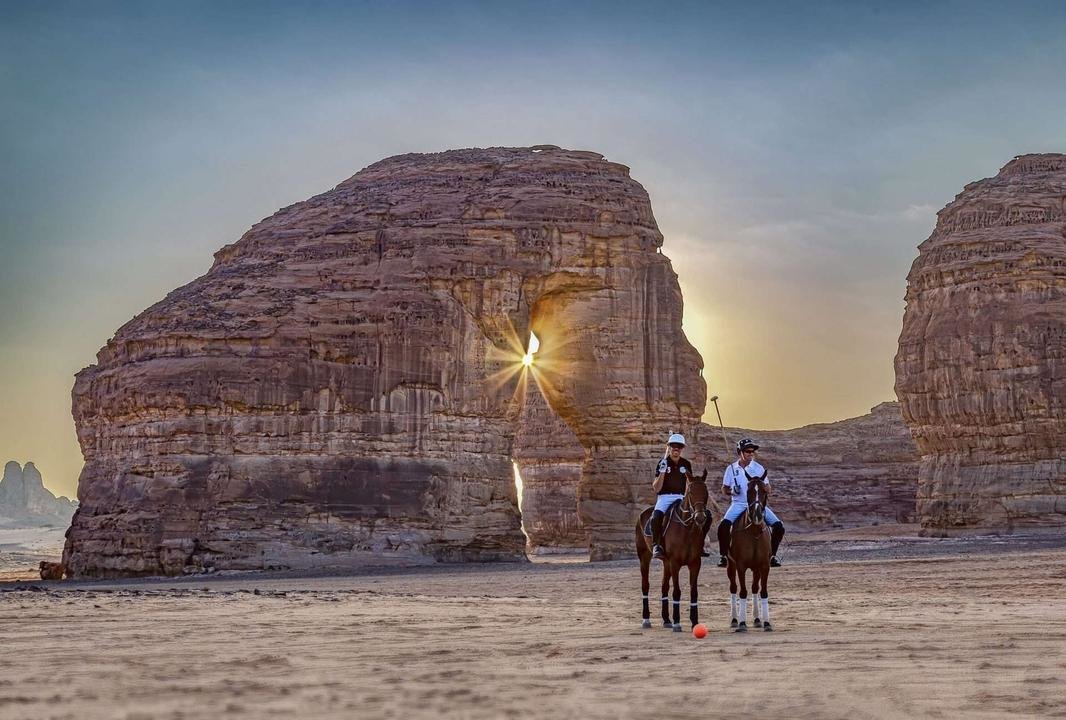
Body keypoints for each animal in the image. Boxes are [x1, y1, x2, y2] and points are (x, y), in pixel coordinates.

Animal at [631, 473, 707, 635]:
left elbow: (694, 592)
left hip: (666, 563)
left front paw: (694, 622)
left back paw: (666, 620)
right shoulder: (675, 563)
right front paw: (677, 622)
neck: (687, 528)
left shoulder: (695, 563)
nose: (700, 517)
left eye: (705, 492)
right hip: (644, 557)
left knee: (664, 586)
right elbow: (677, 591)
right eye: (691, 492)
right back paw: (646, 619)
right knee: (645, 585)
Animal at [724, 475, 776, 635]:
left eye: (764, 491)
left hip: (756, 568)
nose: (758, 515)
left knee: (754, 588)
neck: (754, 532)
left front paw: (766, 622)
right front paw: (742, 623)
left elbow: (763, 591)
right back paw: (734, 620)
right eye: (748, 491)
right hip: (731, 565)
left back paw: (757, 619)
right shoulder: (740, 565)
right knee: (733, 588)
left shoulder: (764, 565)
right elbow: (742, 592)